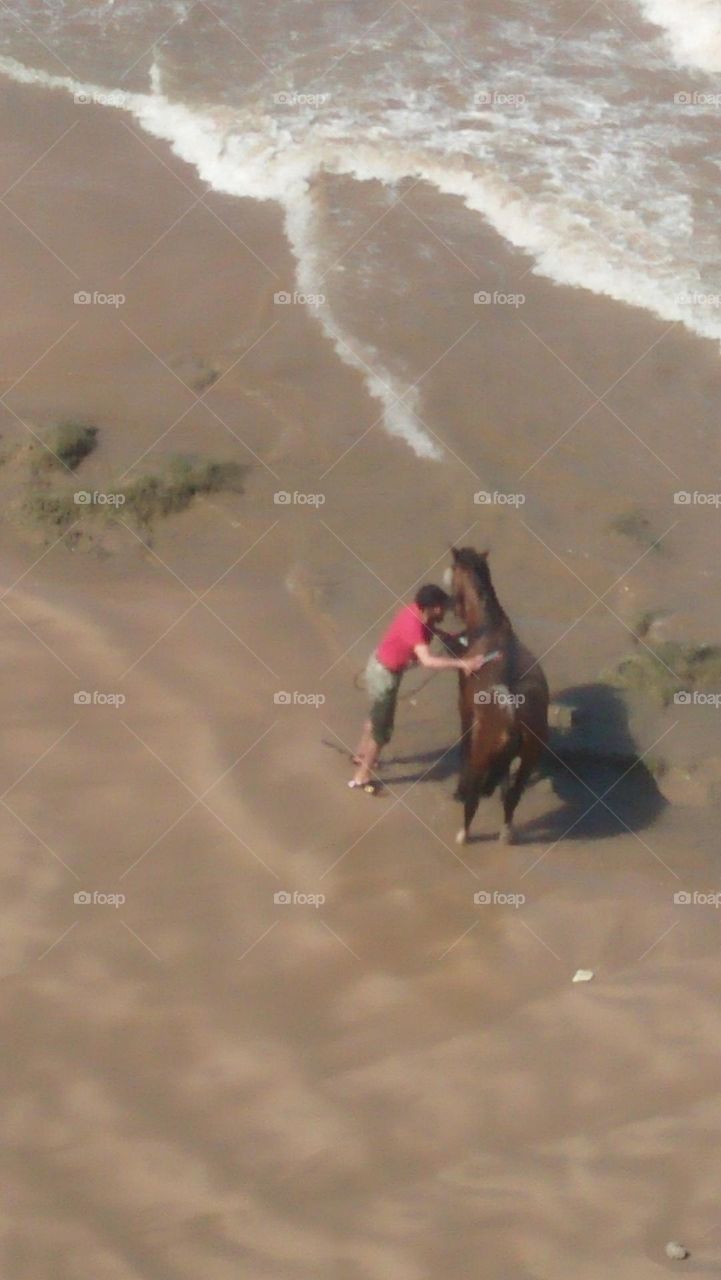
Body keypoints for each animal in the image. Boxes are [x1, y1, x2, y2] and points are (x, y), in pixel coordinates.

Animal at [445, 545, 548, 844]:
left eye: (453, 570)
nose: (452, 607)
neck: (489, 629)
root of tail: (512, 713)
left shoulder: (465, 709)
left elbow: (464, 749)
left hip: (485, 754)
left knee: (474, 797)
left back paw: (464, 833)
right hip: (529, 758)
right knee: (513, 797)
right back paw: (506, 833)